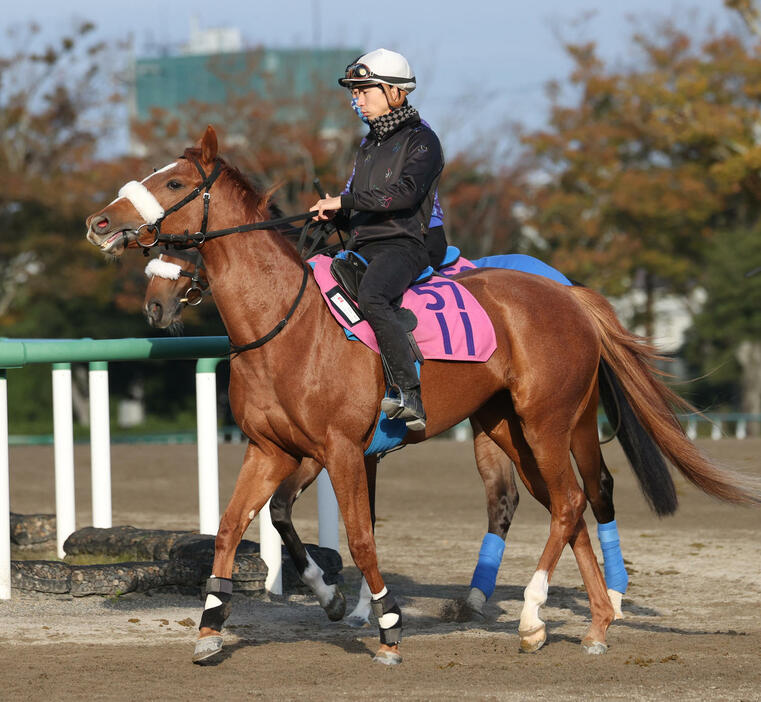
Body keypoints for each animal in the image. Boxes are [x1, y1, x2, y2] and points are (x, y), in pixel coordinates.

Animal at [87, 125, 756, 664]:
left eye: (174, 182)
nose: (100, 222)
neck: (285, 322)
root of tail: (568, 295)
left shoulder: (339, 449)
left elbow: (358, 535)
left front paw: (384, 626)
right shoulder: (270, 449)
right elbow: (237, 526)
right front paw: (212, 627)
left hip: (551, 423)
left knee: (576, 500)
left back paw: (538, 612)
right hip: (510, 430)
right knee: (566, 510)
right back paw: (589, 625)